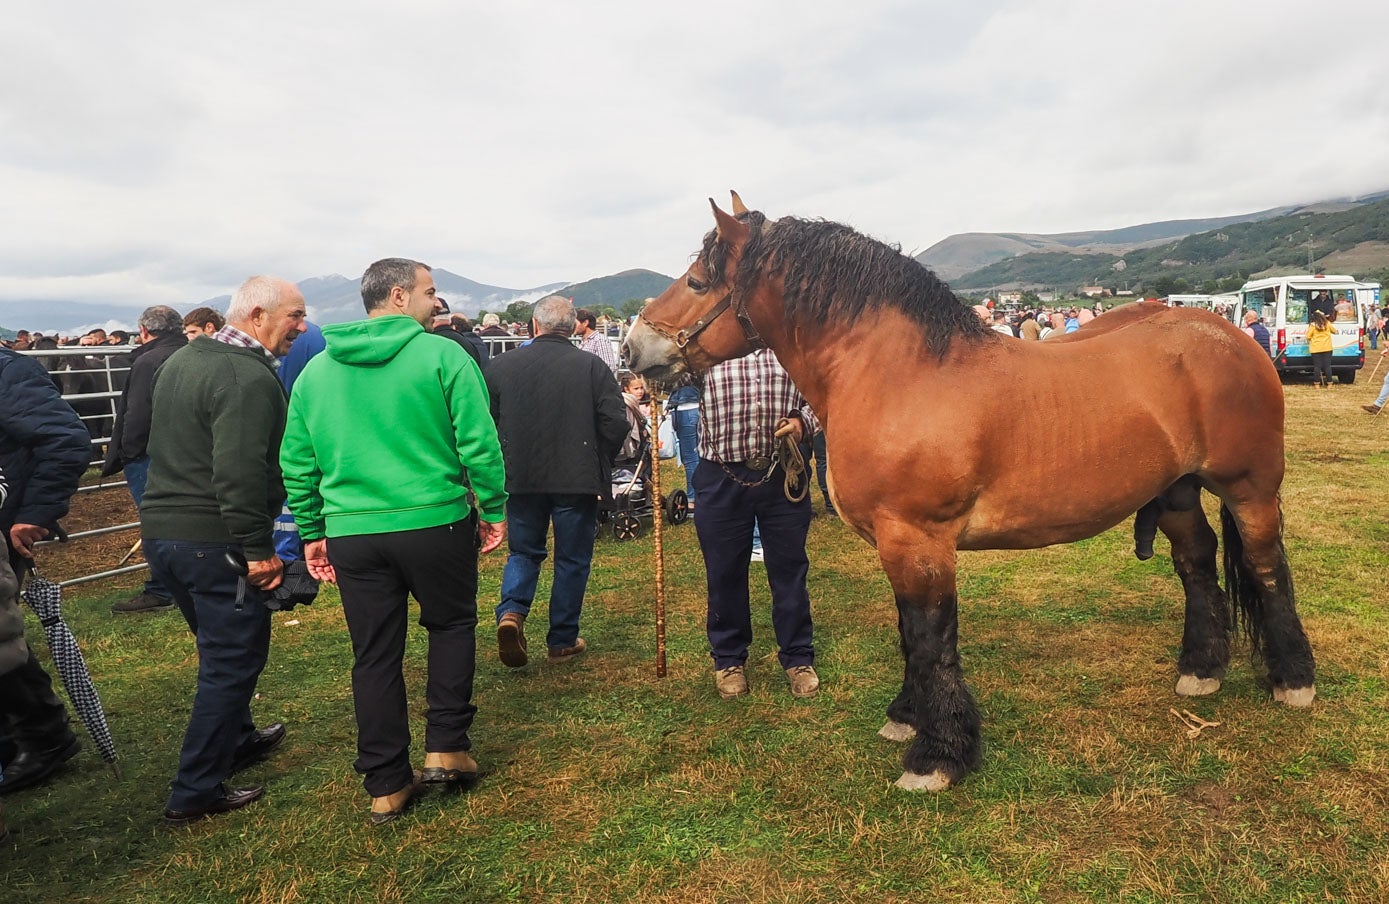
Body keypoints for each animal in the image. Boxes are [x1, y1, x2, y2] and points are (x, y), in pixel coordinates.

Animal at [625, 193, 1316, 794]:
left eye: (697, 281)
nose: (634, 349)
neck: (902, 373)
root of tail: (1232, 338)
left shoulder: (919, 539)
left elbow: (931, 637)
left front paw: (937, 756)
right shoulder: (898, 543)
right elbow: (910, 635)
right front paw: (906, 717)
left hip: (1251, 491)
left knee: (1266, 568)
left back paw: (1294, 680)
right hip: (1176, 492)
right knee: (1197, 564)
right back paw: (1201, 671)